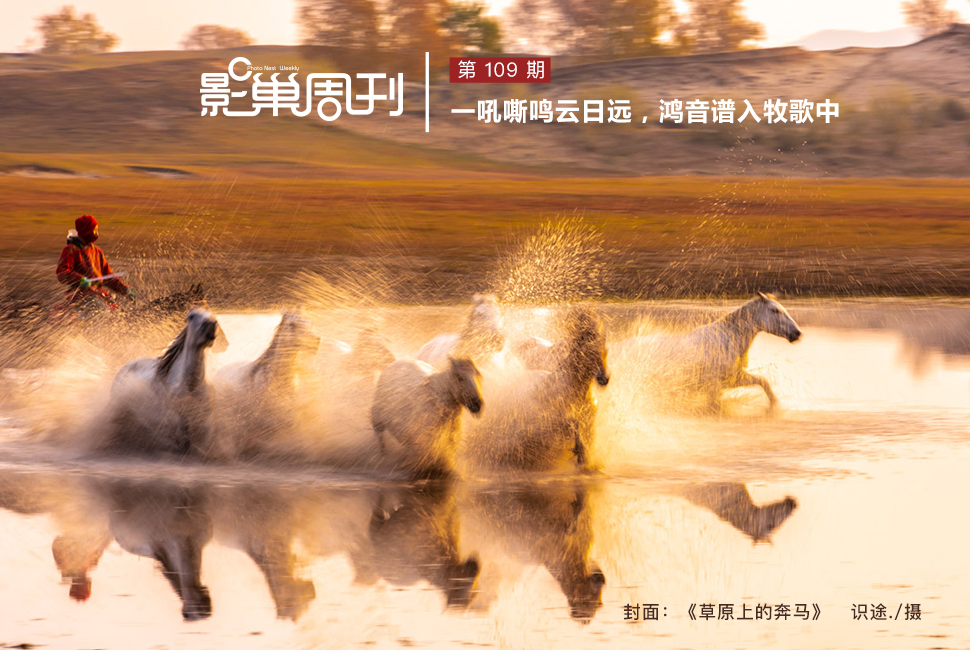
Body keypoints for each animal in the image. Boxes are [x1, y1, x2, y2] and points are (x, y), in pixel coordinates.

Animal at [104, 307, 226, 457]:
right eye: (191, 316)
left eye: (214, 317)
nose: (210, 325)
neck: (191, 385)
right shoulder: (172, 414)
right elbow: (181, 434)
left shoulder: (206, 415)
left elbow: (204, 436)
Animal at [467, 306, 609, 472]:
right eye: (588, 350)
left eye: (605, 350)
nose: (604, 378)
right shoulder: (552, 420)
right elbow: (572, 425)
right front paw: (580, 456)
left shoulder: (589, 422)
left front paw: (586, 461)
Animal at [615, 292, 801, 411]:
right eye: (775, 310)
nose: (797, 333)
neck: (727, 339)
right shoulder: (714, 386)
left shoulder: (732, 379)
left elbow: (764, 382)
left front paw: (776, 403)